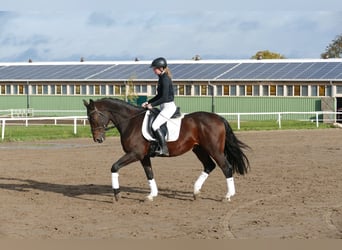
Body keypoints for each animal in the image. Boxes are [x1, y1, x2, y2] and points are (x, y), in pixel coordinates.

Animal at [83, 97, 248, 201]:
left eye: (93, 118)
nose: (98, 139)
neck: (131, 122)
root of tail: (219, 118)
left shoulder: (135, 154)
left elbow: (114, 167)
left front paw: (117, 194)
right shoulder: (143, 156)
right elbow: (149, 173)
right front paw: (152, 195)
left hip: (214, 149)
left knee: (226, 167)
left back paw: (228, 196)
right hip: (199, 149)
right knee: (209, 165)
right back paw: (196, 191)